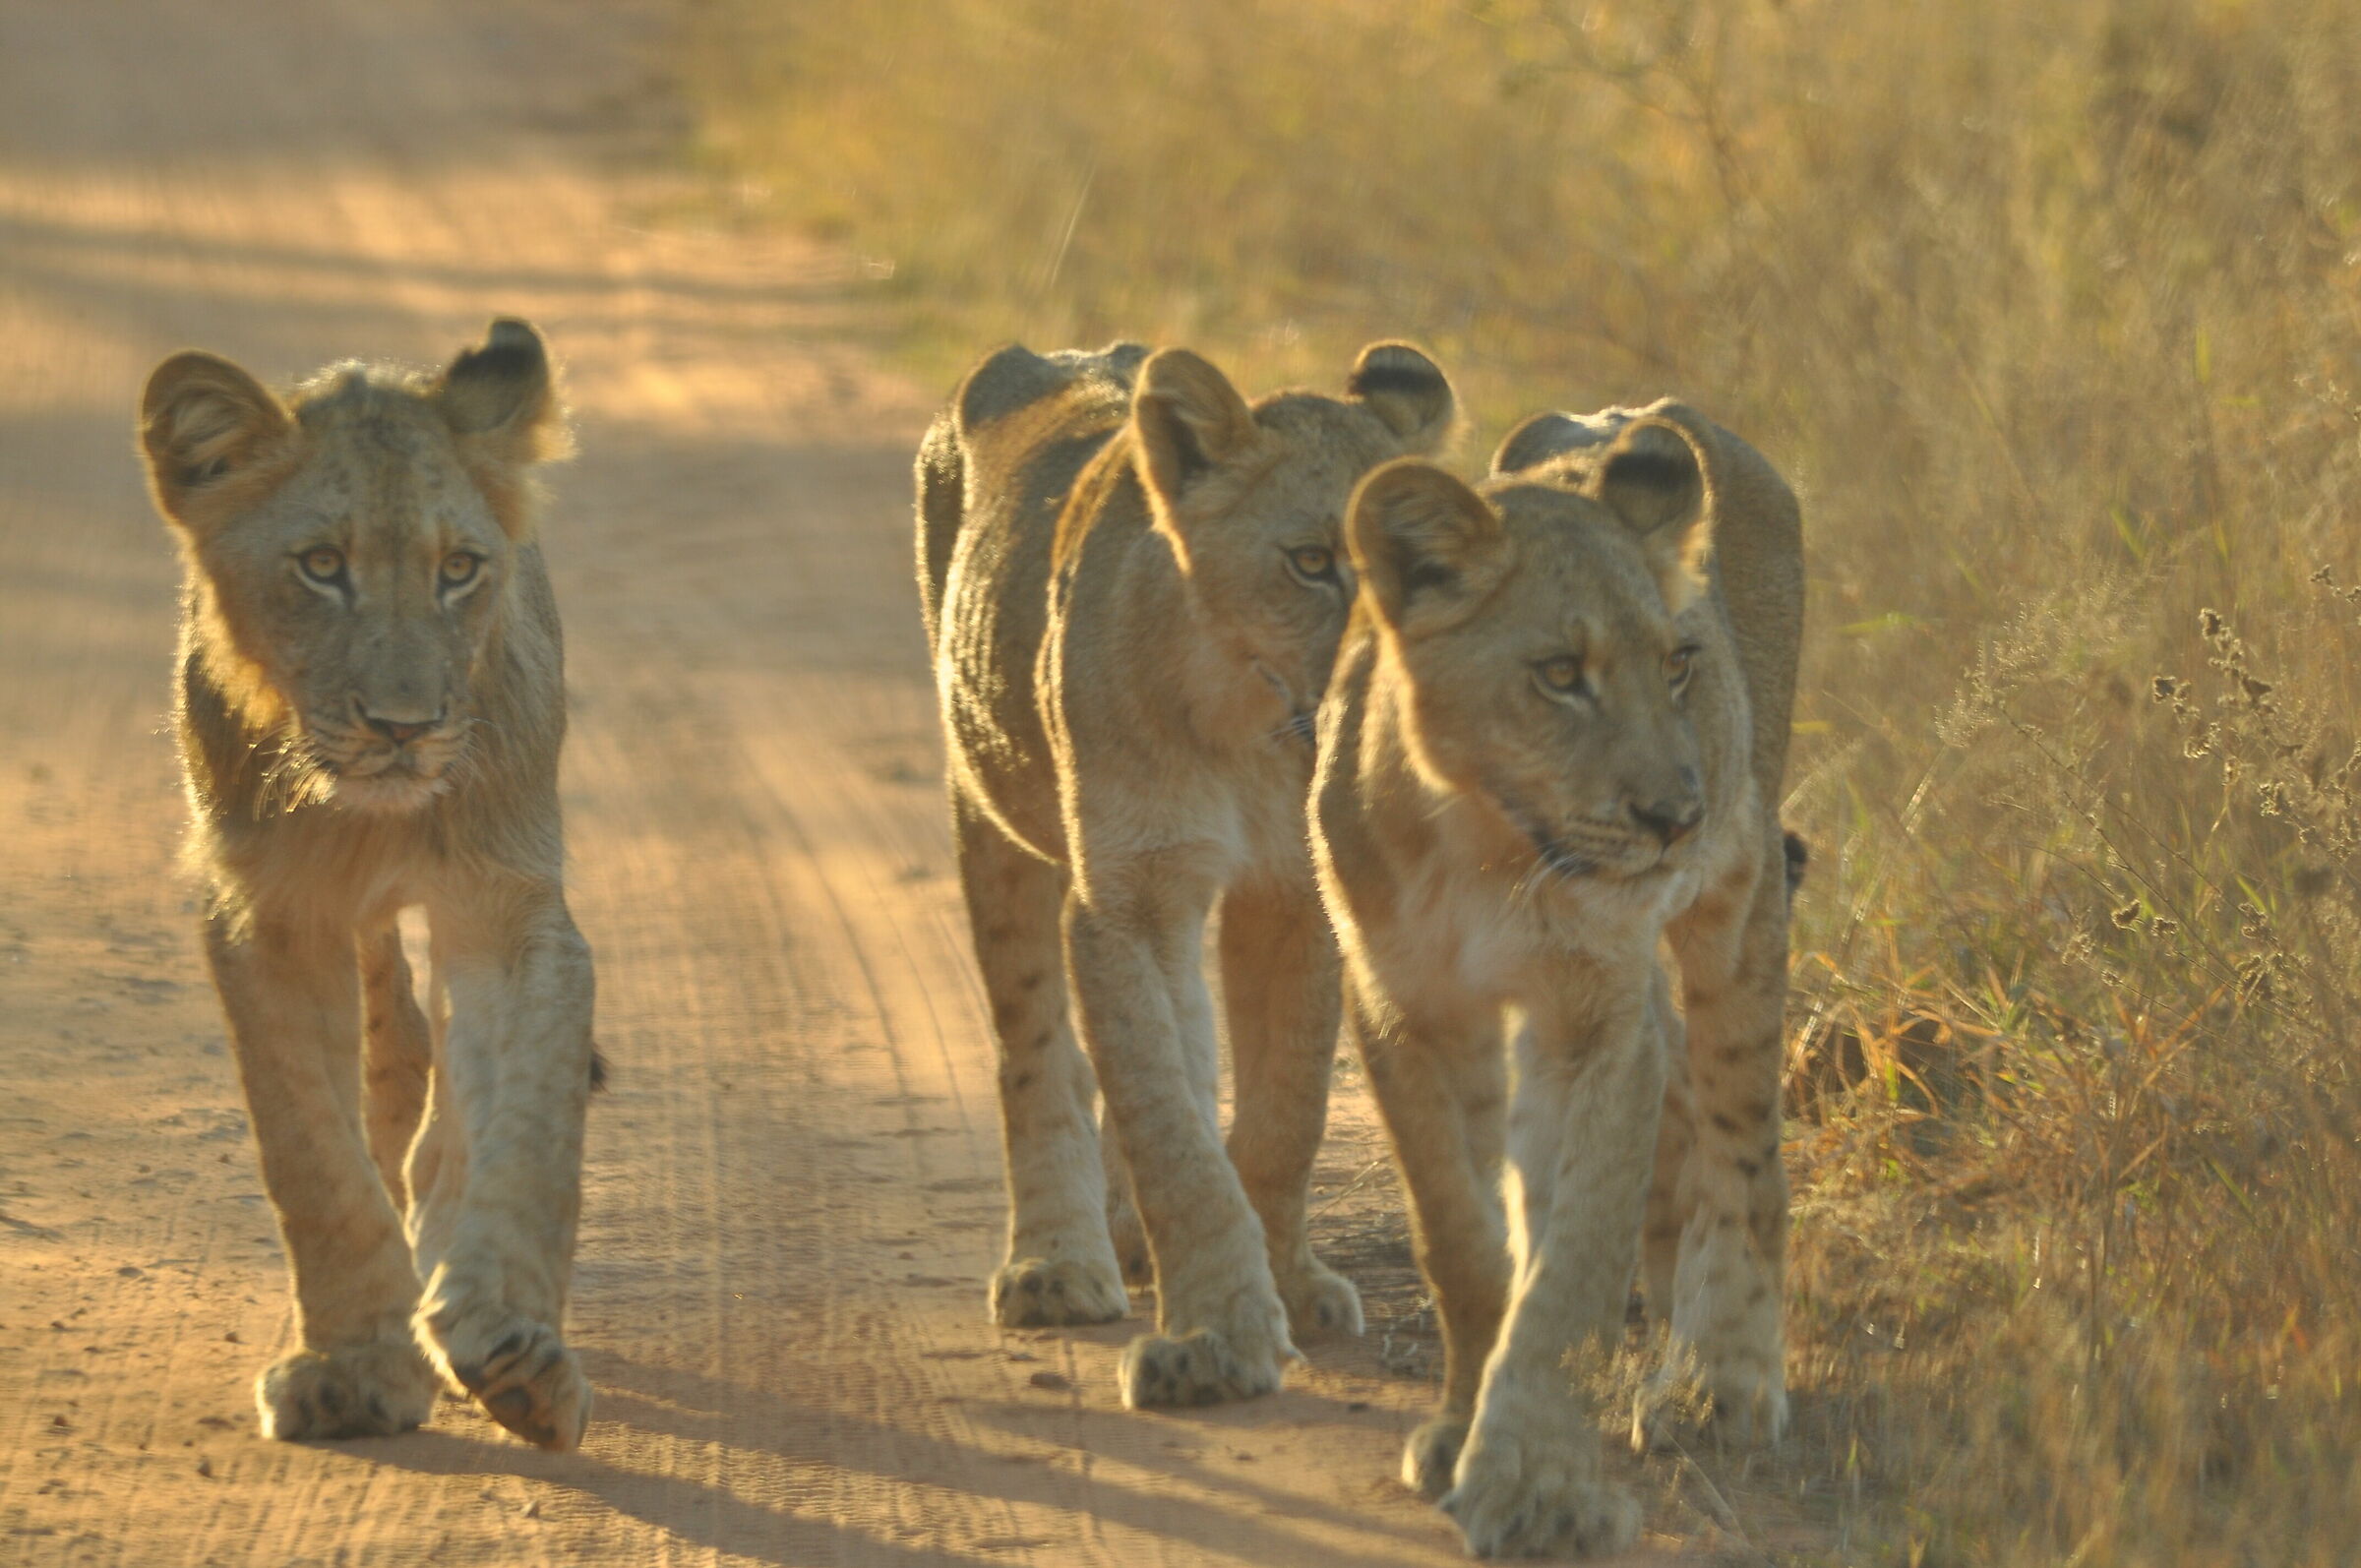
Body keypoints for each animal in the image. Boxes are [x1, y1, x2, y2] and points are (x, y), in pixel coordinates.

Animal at [137, 319, 599, 1450]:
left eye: (459, 569)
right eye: (320, 567)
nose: (404, 727)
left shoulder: (513, 903)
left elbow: (532, 1131)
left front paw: (520, 1348)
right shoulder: (264, 912)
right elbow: (313, 1154)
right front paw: (352, 1369)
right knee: (394, 1050)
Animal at [918, 338, 1457, 1407]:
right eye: (1311, 563)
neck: (1246, 726)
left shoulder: (1299, 896)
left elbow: (1285, 1105)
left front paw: (1289, 1283)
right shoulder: (1128, 894)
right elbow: (1166, 1121)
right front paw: (1221, 1333)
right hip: (989, 808)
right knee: (1036, 1044)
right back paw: (1057, 1262)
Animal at [1309, 401, 1802, 1557]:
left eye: (1679, 663)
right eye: (1560, 675)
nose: (1675, 815)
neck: (1484, 844)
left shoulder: (1595, 1019)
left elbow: (1573, 1257)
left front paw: (1536, 1483)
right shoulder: (1402, 1007)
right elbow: (1463, 1236)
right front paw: (1462, 1429)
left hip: (1740, 909)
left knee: (1743, 1153)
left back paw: (1722, 1384)